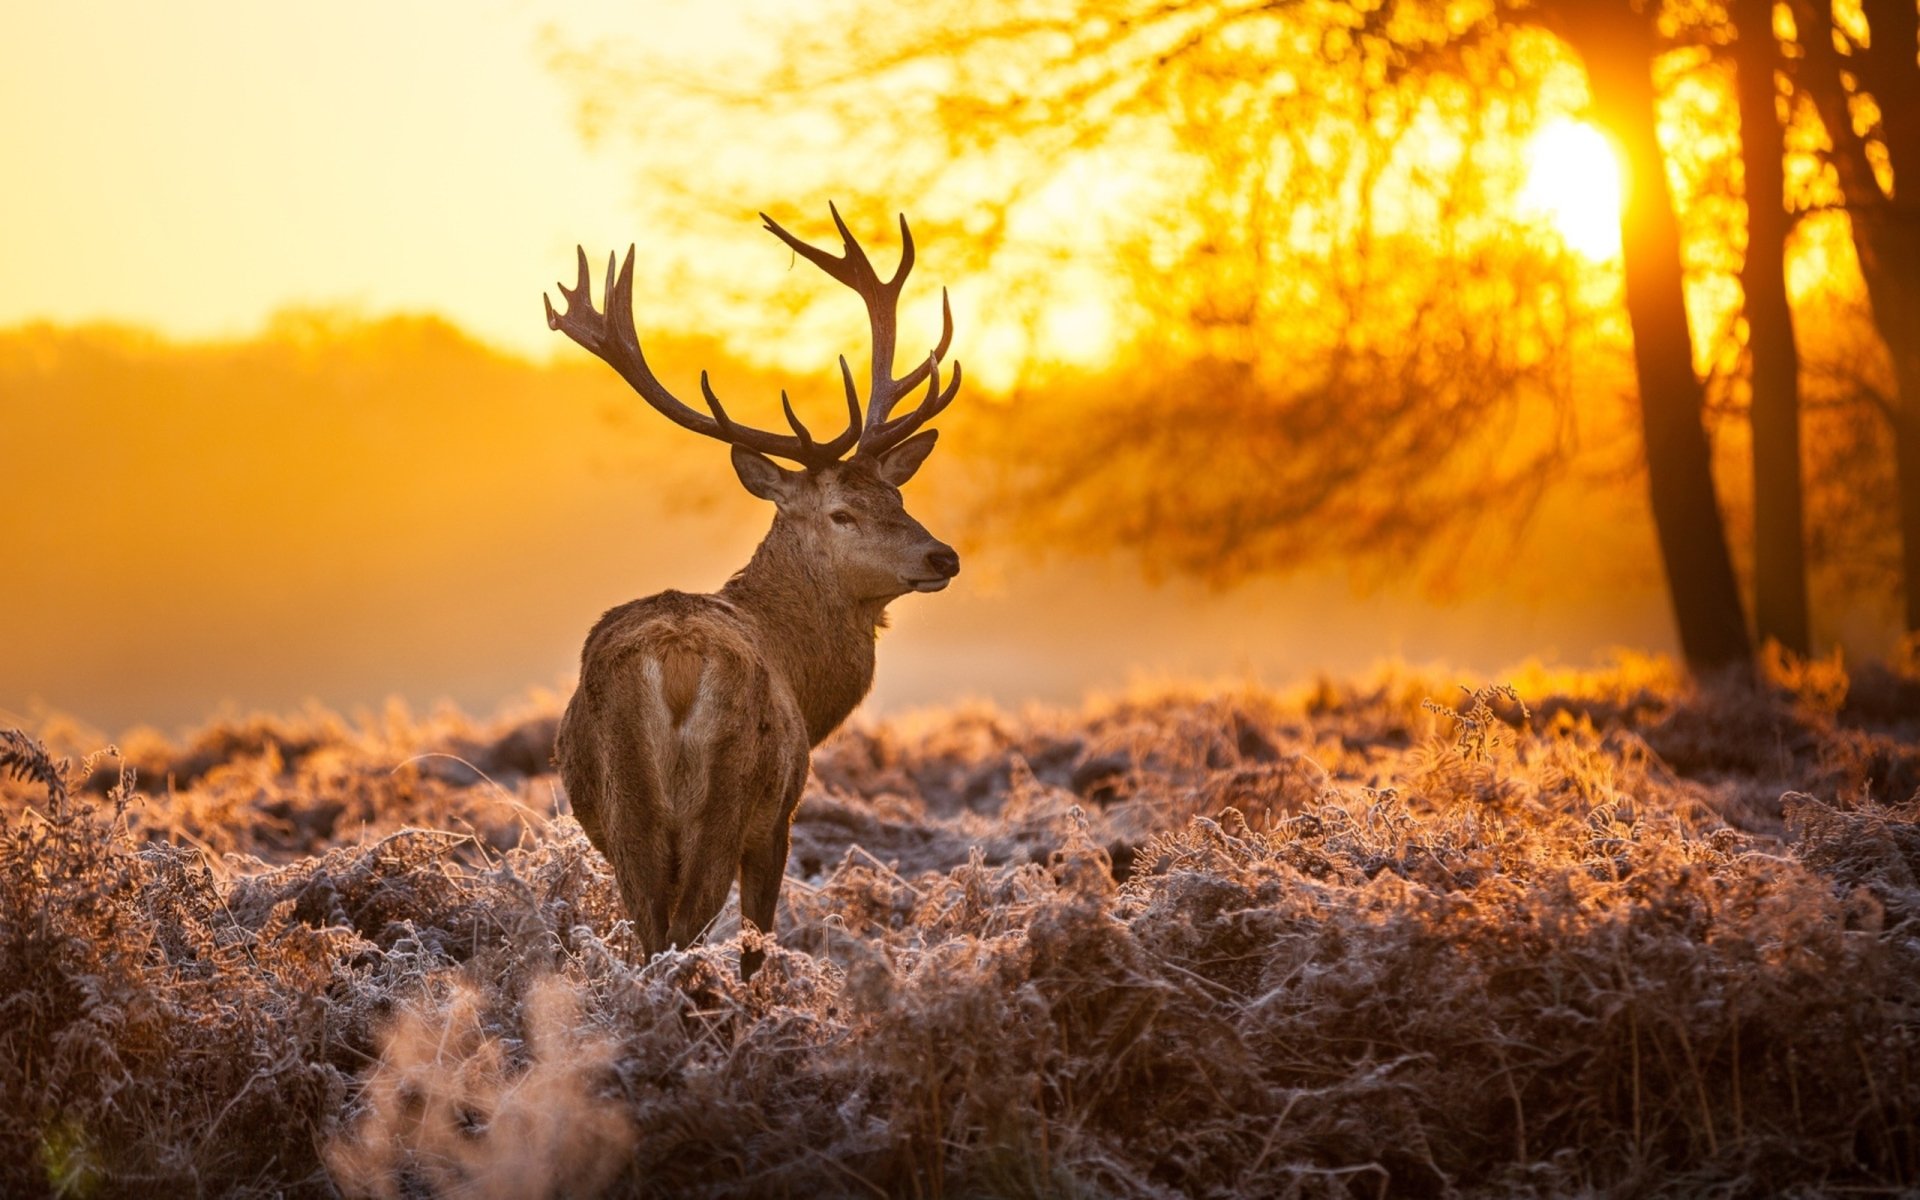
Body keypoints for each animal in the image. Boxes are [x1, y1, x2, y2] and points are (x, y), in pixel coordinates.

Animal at [545, 206, 962, 979]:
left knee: (651, 933)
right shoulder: (780, 816)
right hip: (729, 797)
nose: (942, 555)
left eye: (897, 495)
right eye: (842, 512)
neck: (806, 678)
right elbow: (756, 944)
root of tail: (675, 664)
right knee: (685, 932)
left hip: (625, 811)